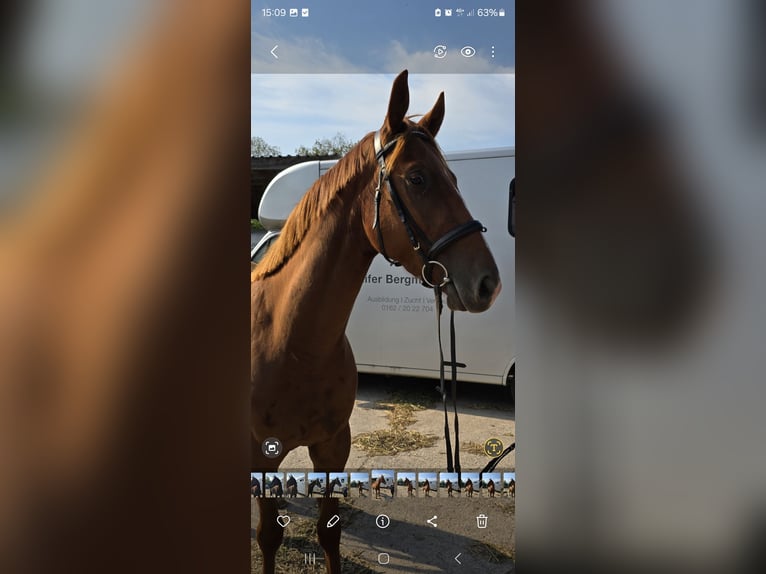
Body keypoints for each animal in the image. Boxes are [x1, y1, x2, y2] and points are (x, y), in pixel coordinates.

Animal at [254, 70, 504, 572]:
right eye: (417, 177)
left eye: (454, 177)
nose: (488, 283)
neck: (293, 343)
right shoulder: (263, 453)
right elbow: (268, 538)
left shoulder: (333, 446)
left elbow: (329, 534)